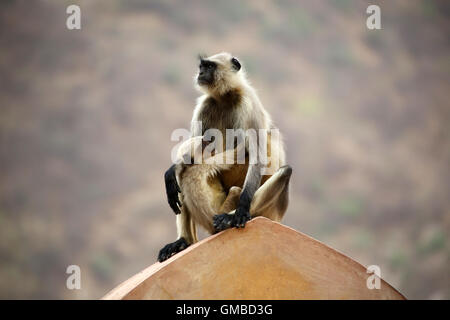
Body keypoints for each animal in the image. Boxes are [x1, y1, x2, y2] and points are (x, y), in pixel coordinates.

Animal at [158, 53, 292, 262]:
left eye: (209, 66)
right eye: (202, 66)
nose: (200, 73)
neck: (225, 97)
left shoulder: (247, 102)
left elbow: (253, 152)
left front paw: (241, 210)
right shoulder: (205, 105)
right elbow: (198, 145)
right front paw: (173, 169)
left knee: (282, 170)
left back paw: (234, 216)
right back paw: (185, 241)